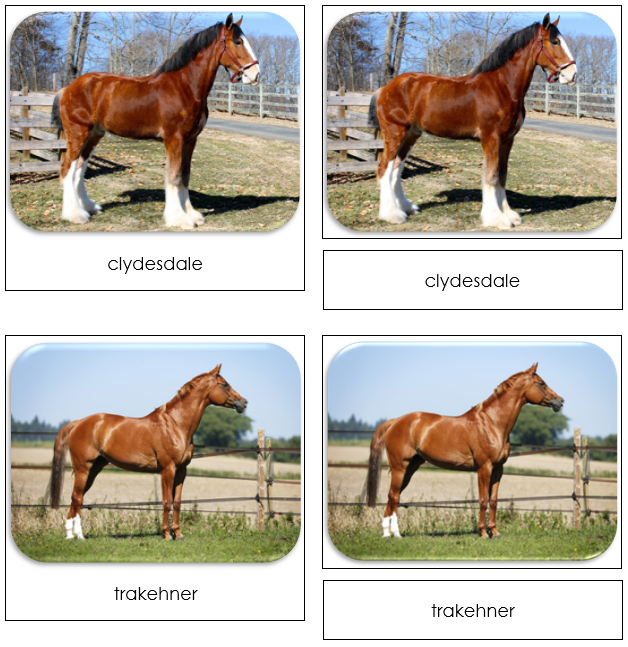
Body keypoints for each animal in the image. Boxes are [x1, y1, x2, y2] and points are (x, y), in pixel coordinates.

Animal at [48, 365, 248, 540]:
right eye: (224, 384)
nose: (244, 403)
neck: (176, 425)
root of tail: (79, 422)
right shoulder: (168, 469)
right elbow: (166, 502)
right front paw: (167, 535)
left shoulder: (181, 470)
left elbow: (177, 502)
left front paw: (179, 534)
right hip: (83, 468)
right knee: (77, 498)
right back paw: (79, 536)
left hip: (93, 469)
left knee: (77, 499)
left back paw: (70, 535)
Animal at [51, 14, 260, 229]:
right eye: (238, 41)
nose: (255, 74)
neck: (185, 86)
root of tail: (67, 88)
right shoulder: (174, 139)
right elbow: (174, 177)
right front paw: (178, 218)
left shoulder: (190, 140)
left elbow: (185, 176)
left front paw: (192, 215)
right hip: (78, 134)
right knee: (67, 170)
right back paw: (75, 214)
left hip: (94, 135)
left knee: (79, 169)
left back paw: (88, 207)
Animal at [365, 363, 564, 539]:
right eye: (541, 383)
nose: (560, 401)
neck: (492, 423)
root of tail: (395, 421)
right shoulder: (484, 468)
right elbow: (482, 500)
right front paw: (483, 533)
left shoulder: (498, 469)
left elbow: (493, 501)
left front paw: (495, 532)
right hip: (400, 467)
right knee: (394, 496)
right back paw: (396, 534)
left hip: (410, 467)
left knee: (393, 497)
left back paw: (387, 533)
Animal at [367, 14, 577, 229]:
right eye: (555, 41)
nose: (572, 74)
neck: (501, 86)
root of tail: (384, 88)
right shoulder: (491, 139)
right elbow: (491, 177)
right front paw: (495, 218)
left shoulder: (507, 140)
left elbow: (502, 176)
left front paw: (509, 215)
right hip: (395, 134)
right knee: (384, 169)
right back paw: (392, 214)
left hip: (411, 135)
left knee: (396, 169)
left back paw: (405, 207)